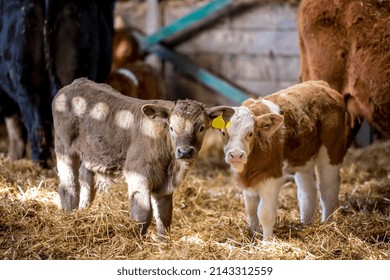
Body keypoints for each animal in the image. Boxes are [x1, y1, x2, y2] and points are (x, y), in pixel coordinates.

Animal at [52, 77, 235, 236]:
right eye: (171, 127)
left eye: (202, 128)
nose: (185, 152)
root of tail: (77, 83)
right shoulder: (139, 175)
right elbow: (143, 215)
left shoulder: (164, 187)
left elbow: (164, 217)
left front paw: (163, 245)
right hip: (64, 149)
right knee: (69, 186)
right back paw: (68, 217)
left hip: (90, 155)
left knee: (87, 185)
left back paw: (83, 213)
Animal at [218, 81, 348, 241]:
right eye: (223, 132)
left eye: (250, 133)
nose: (236, 155)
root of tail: (321, 84)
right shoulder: (249, 184)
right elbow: (251, 210)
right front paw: (254, 235)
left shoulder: (271, 178)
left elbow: (265, 214)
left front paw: (266, 242)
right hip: (303, 159)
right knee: (307, 191)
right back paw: (305, 224)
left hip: (331, 152)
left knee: (328, 189)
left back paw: (327, 224)